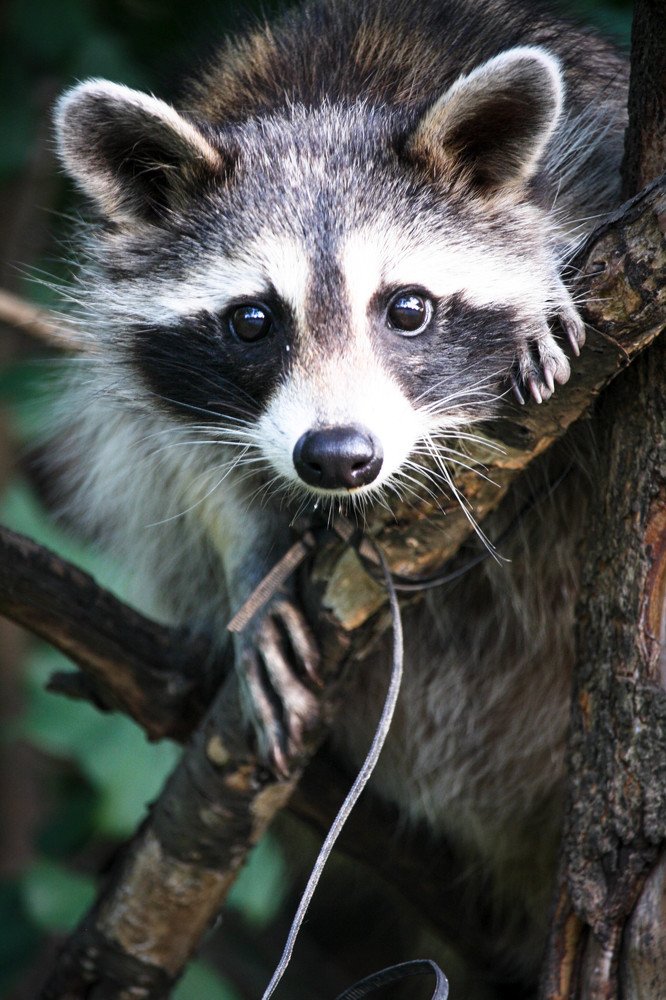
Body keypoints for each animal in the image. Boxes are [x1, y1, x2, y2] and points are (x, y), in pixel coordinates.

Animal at [50, 0, 628, 991]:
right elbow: (170, 446)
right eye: (252, 320)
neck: (329, 97)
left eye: (408, 309)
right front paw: (252, 564)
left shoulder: (605, 156)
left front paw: (549, 268)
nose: (337, 457)